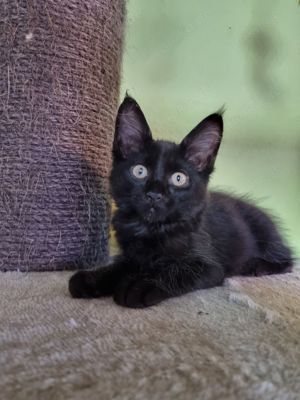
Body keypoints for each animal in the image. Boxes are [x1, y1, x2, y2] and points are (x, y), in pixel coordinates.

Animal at [68, 95, 292, 308]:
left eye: (178, 178)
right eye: (139, 171)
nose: (154, 194)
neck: (153, 229)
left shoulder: (209, 267)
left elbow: (175, 270)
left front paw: (139, 286)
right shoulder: (131, 255)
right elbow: (121, 267)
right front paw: (93, 278)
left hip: (265, 233)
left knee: (287, 260)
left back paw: (255, 265)